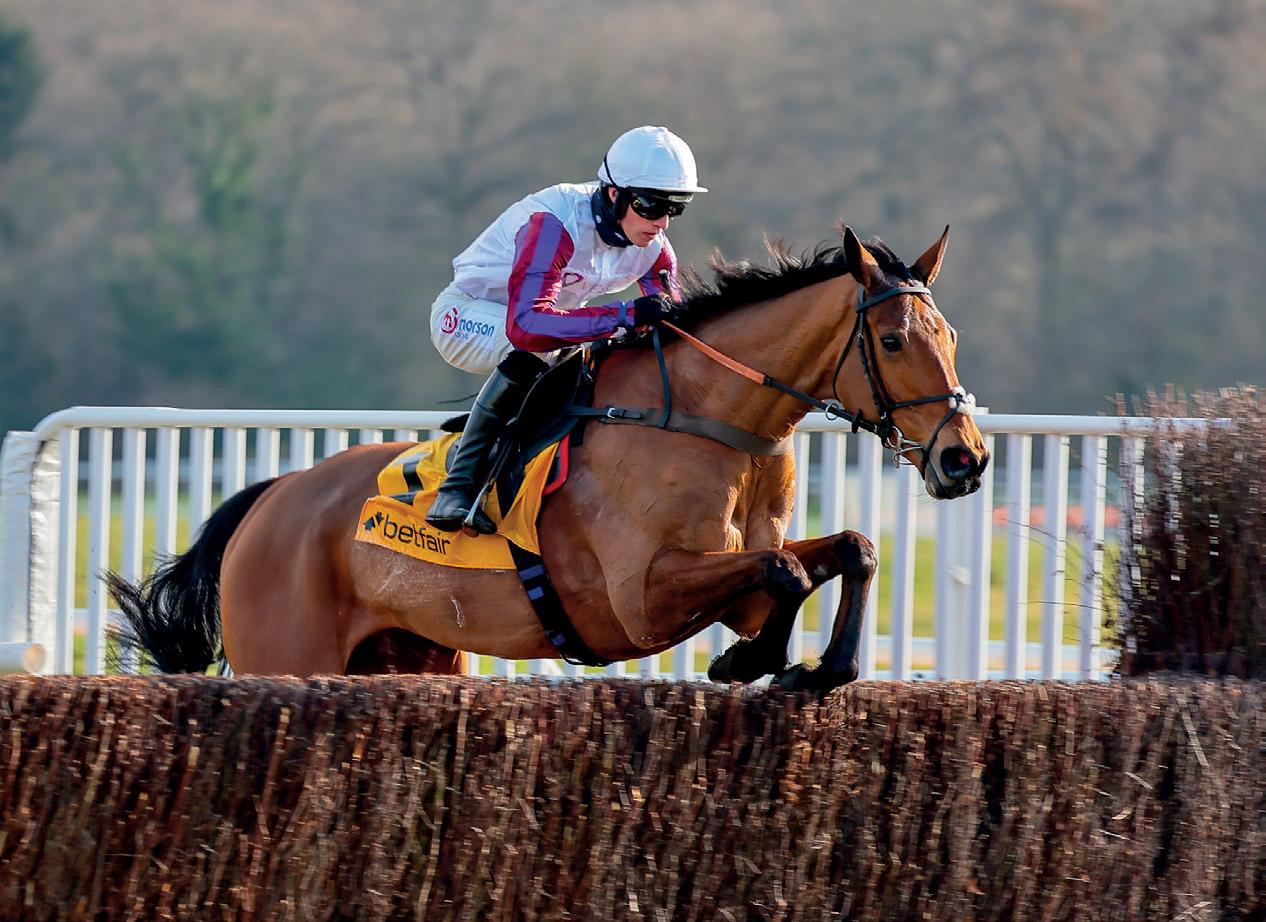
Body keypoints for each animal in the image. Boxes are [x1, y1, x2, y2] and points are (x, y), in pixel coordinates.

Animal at [109, 226, 989, 692]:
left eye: (949, 335)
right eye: (893, 340)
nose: (964, 460)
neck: (713, 422)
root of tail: (272, 496)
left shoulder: (729, 577)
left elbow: (846, 550)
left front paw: (820, 668)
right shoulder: (639, 600)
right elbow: (788, 571)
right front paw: (754, 660)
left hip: (414, 656)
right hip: (287, 656)